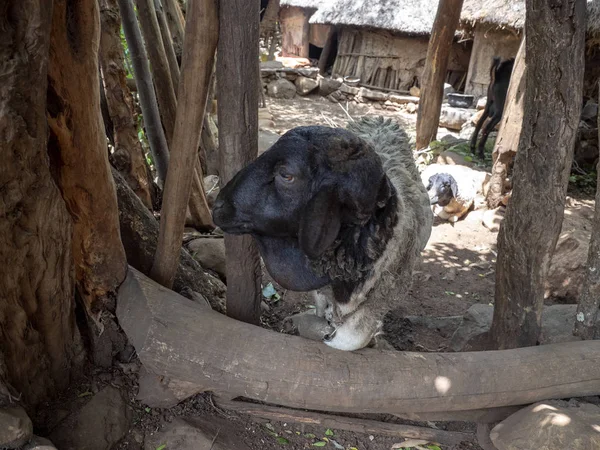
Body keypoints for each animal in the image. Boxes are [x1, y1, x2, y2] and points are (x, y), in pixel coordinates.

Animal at [213, 117, 434, 352]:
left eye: (286, 175)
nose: (217, 206)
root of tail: (381, 120)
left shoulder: (383, 295)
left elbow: (348, 339)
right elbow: (320, 305)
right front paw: (322, 320)